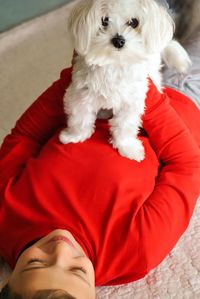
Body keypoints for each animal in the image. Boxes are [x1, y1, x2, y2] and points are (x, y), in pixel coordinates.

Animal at [59, 0, 191, 162]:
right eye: (104, 21)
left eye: (134, 22)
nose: (118, 40)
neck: (114, 63)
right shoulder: (81, 94)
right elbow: (80, 118)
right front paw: (74, 136)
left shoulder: (131, 102)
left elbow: (125, 126)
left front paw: (128, 147)